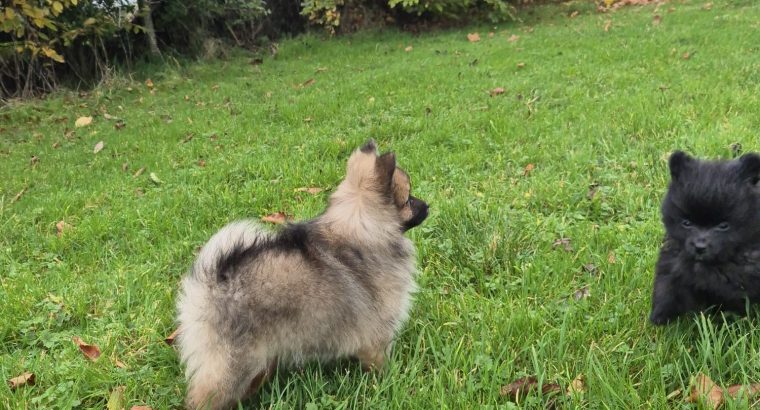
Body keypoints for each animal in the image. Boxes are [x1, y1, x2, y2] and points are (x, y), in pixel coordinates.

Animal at [174, 140, 430, 406]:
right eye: (408, 199)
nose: (427, 205)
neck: (365, 230)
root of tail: (211, 282)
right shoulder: (378, 335)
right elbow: (380, 364)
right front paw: (389, 382)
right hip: (231, 367)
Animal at [652, 149, 760, 326]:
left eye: (723, 225)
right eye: (687, 223)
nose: (699, 247)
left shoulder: (746, 271)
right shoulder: (672, 250)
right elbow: (668, 281)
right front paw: (660, 314)